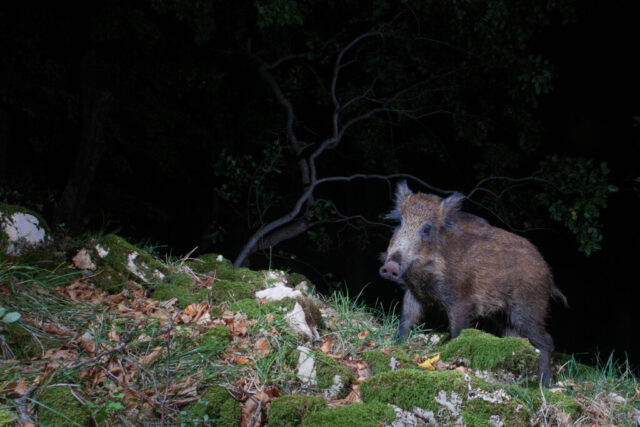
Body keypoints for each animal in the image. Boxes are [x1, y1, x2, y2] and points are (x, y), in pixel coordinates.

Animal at [379, 181, 567, 385]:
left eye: (426, 229)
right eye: (399, 223)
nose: (390, 267)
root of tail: (549, 276)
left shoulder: (461, 300)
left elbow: (457, 331)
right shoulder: (413, 293)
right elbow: (405, 320)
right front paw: (396, 345)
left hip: (528, 308)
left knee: (546, 341)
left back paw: (545, 383)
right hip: (504, 316)